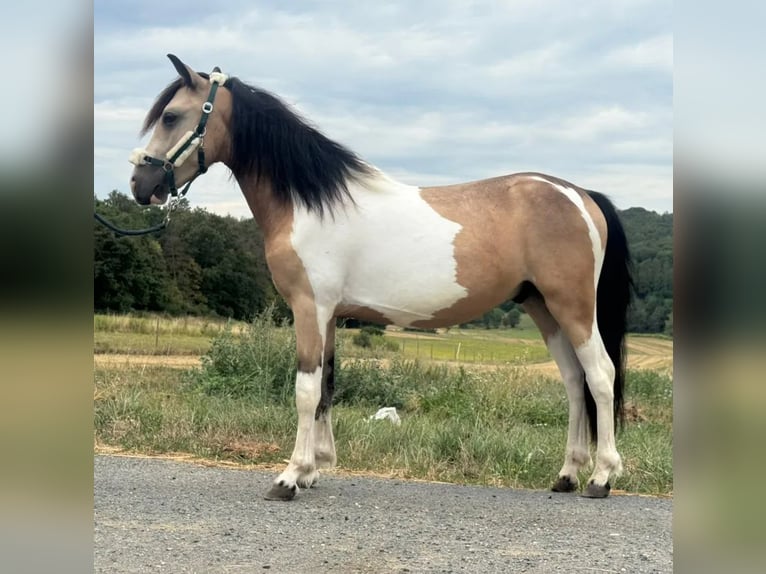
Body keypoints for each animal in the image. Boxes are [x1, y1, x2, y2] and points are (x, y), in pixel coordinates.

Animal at [129, 55, 632, 501]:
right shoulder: (329, 316)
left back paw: (601, 477)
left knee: (600, 376)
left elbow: (305, 389)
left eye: (171, 116)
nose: (138, 185)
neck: (310, 204)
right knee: (574, 382)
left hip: (572, 306)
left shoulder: (310, 308)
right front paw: (314, 470)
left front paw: (289, 477)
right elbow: (327, 387)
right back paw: (567, 474)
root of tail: (579, 194)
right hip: (543, 308)